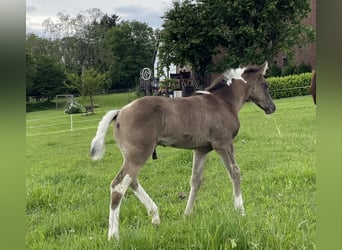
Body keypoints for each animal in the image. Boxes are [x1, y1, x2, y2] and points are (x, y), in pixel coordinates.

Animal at [90, 61, 276, 239]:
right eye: (266, 85)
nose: (272, 107)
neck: (223, 102)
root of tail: (120, 112)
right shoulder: (223, 144)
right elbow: (235, 173)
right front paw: (240, 211)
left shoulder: (201, 149)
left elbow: (196, 180)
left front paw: (187, 215)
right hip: (139, 154)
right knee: (119, 185)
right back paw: (113, 235)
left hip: (131, 156)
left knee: (131, 181)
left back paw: (155, 216)